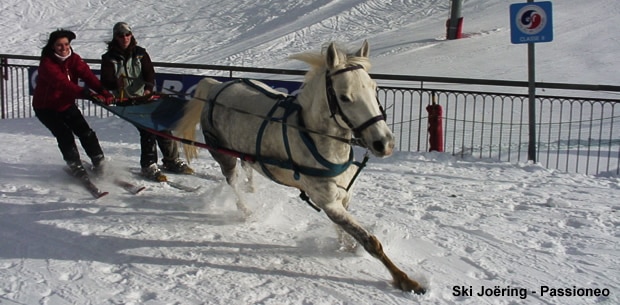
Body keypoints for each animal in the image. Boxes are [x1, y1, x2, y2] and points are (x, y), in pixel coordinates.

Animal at [174, 40, 426, 292]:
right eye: (344, 97)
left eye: (374, 89)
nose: (385, 143)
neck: (317, 139)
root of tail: (216, 87)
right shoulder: (327, 201)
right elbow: (369, 241)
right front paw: (405, 279)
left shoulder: (343, 198)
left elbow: (344, 230)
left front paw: (347, 246)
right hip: (222, 154)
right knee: (232, 181)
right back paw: (246, 210)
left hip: (243, 150)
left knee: (247, 169)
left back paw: (252, 189)